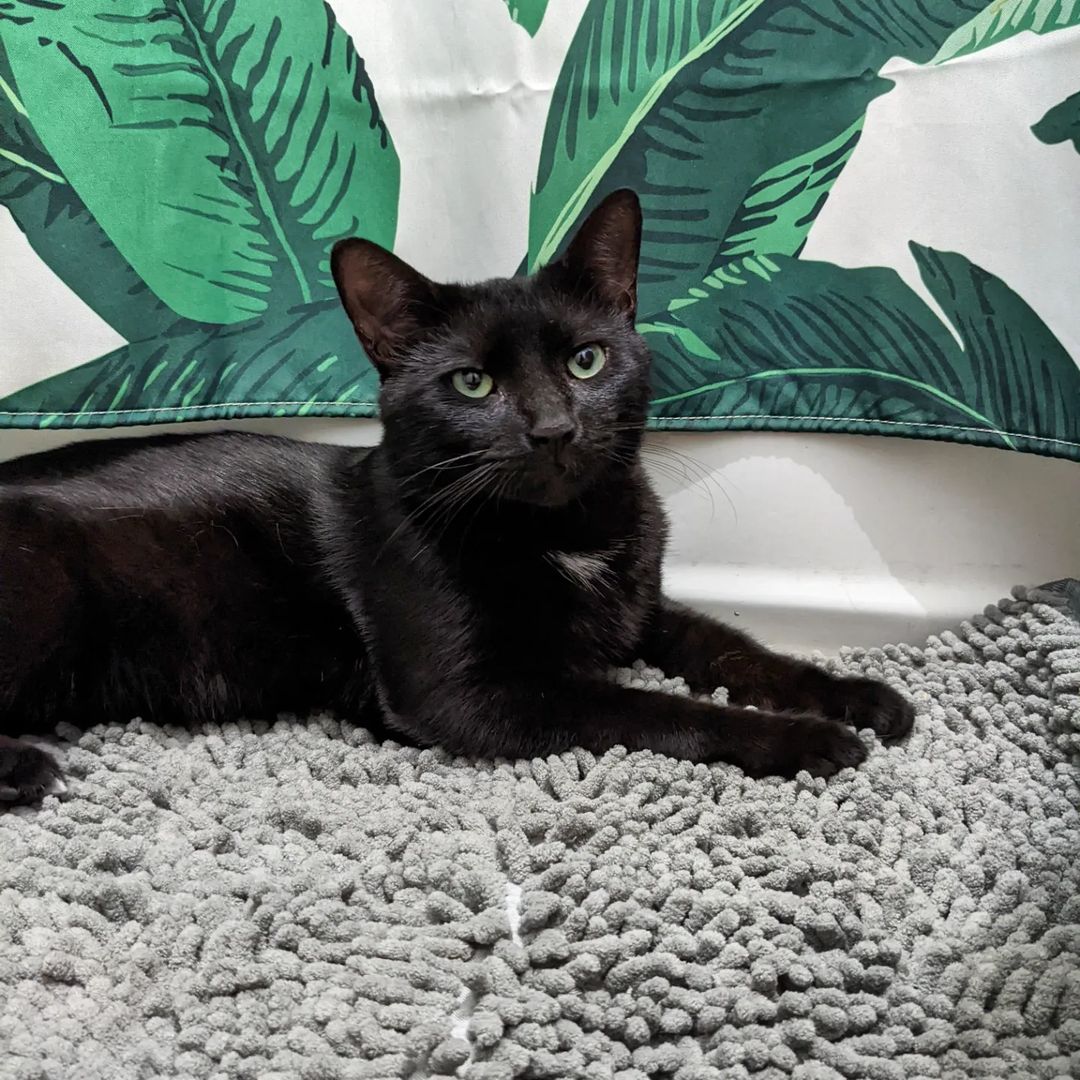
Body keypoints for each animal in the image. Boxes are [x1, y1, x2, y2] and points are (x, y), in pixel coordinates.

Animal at [0, 190, 911, 807]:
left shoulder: (644, 611)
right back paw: (26, 769)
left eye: (586, 360)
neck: (570, 532)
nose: (552, 428)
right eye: (473, 384)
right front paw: (807, 739)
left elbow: (740, 651)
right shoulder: (472, 696)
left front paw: (861, 698)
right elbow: (652, 706)